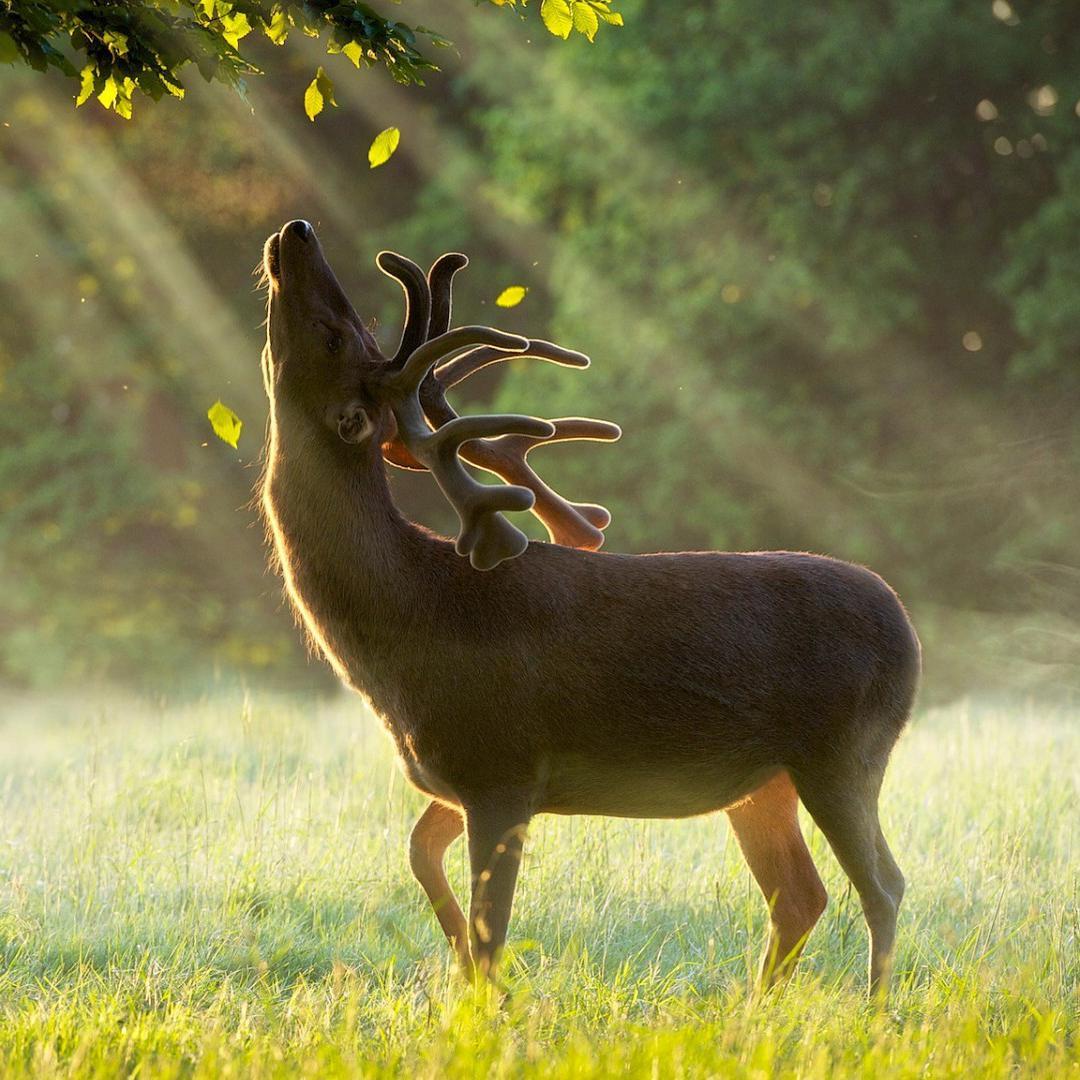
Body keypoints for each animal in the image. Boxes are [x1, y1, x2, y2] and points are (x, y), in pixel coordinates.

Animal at [259, 217, 920, 993]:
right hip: (764, 783)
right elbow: (420, 855)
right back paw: (758, 1009)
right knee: (799, 893)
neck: (407, 626)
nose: (297, 230)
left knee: (882, 885)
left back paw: (873, 1009)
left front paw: (484, 998)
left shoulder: (501, 765)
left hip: (845, 750)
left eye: (337, 333)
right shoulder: (461, 776)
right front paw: (461, 972)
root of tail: (907, 630)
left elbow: (490, 928)